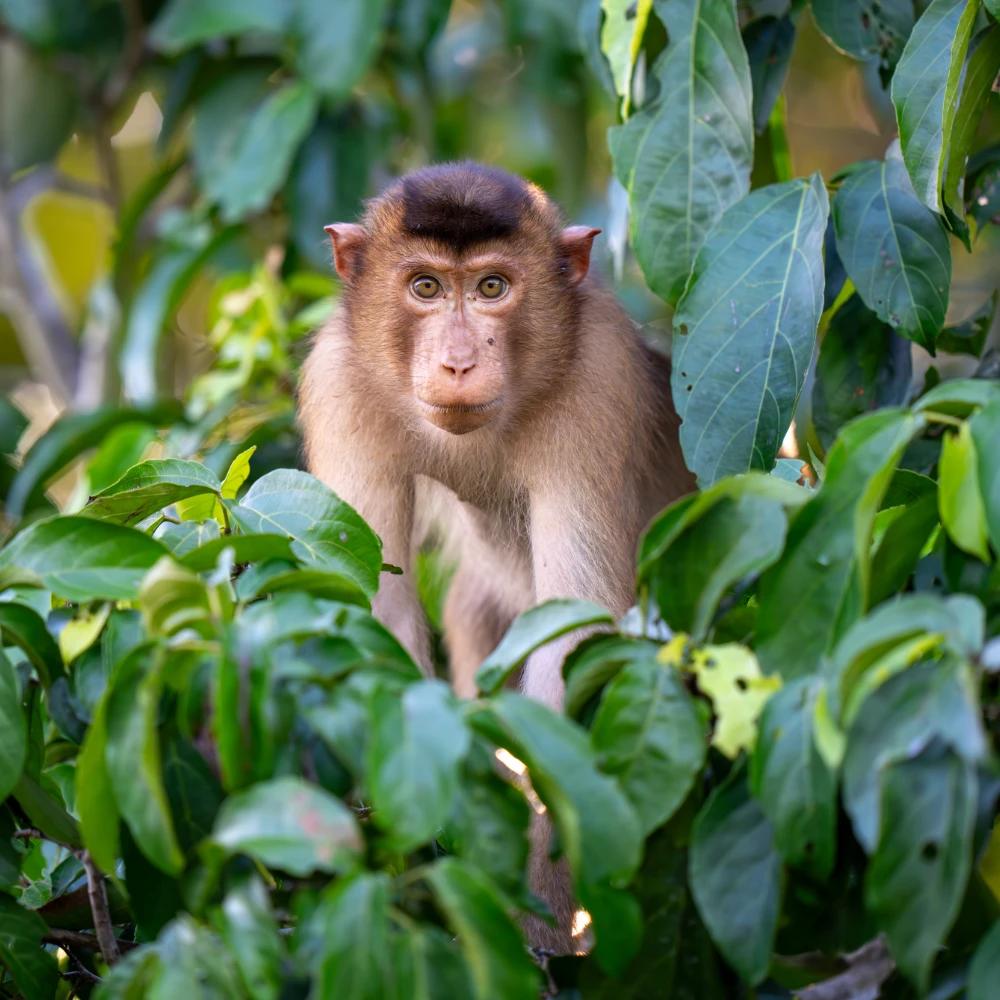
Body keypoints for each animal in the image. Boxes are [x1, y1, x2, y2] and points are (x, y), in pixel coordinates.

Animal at [299, 162, 694, 952]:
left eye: (491, 287)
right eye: (425, 286)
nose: (458, 361)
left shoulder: (599, 384)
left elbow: (572, 636)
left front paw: (542, 917)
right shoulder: (339, 387)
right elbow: (375, 618)